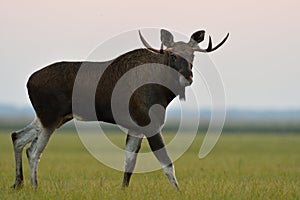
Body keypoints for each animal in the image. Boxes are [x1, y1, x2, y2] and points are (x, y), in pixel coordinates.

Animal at [10, 28, 229, 189]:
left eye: (193, 55)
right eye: (172, 55)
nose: (188, 76)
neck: (163, 90)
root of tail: (29, 81)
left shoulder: (136, 127)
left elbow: (129, 162)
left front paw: (123, 189)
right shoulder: (149, 124)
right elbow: (167, 163)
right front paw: (178, 191)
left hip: (53, 118)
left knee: (18, 137)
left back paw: (18, 183)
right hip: (50, 118)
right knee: (34, 150)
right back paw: (34, 186)